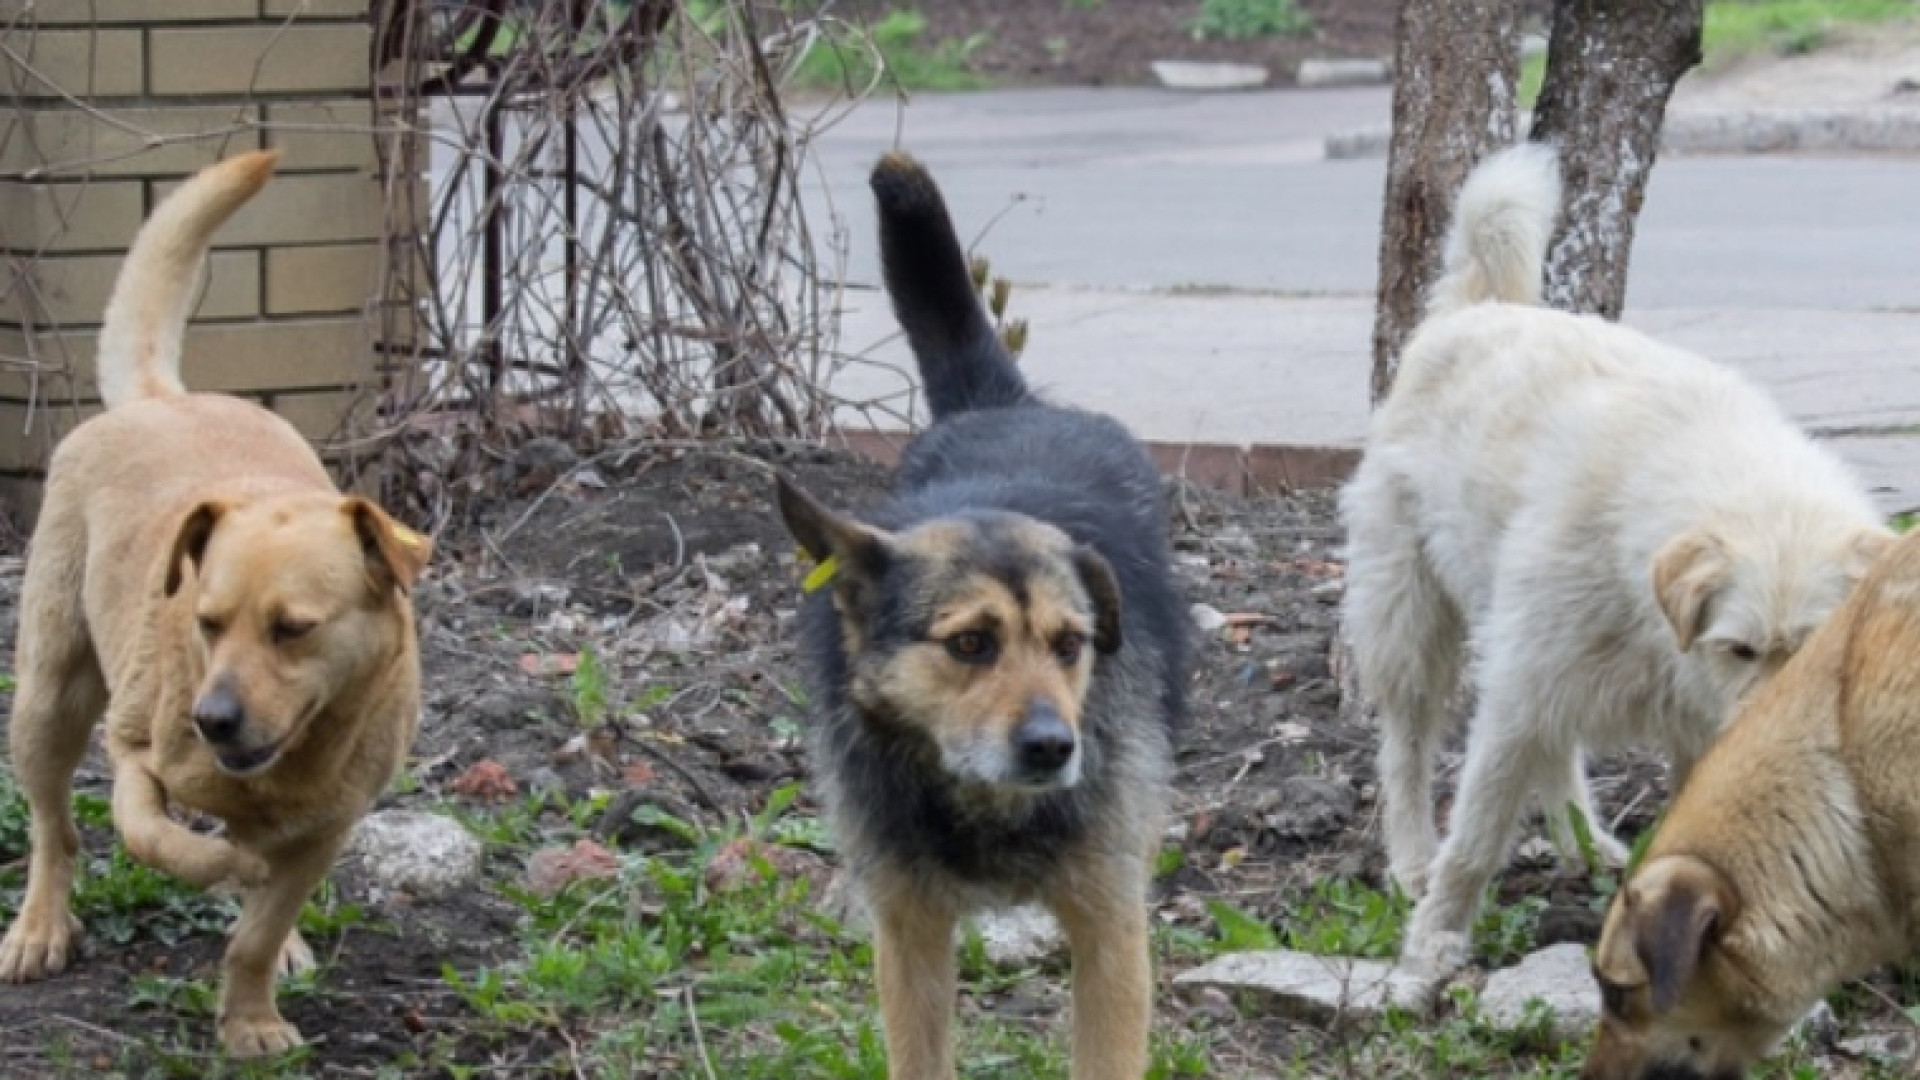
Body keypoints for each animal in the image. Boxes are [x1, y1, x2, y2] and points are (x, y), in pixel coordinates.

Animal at [0, 148, 428, 1053]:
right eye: (205, 622)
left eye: (294, 629)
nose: (213, 720)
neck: (288, 764)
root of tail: (164, 399)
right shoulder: (135, 755)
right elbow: (156, 836)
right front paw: (223, 869)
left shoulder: (327, 825)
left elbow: (259, 932)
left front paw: (252, 1016)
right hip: (50, 695)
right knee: (54, 827)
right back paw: (40, 926)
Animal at [779, 153, 1182, 1076]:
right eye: (969, 643)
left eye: (1071, 645)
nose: (1053, 747)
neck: (980, 802)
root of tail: (1004, 402)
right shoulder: (909, 936)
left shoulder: (1112, 934)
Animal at [1344, 141, 1896, 976]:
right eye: (1739, 649)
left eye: (1812, 651)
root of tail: (1476, 307)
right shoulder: (1517, 694)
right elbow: (1474, 837)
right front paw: (1434, 941)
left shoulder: (1691, 728)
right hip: (1414, 620)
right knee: (1408, 749)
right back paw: (1411, 859)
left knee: (1555, 748)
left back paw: (1581, 841)